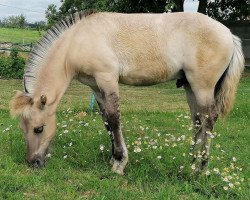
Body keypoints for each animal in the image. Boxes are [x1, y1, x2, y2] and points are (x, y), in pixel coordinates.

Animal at [10, 10, 244, 175]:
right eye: (23, 128)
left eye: (39, 129)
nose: (33, 162)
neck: (77, 41)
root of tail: (229, 34)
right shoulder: (96, 86)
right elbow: (106, 120)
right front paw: (113, 158)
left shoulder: (107, 79)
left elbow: (114, 119)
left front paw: (119, 163)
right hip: (190, 87)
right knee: (197, 120)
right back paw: (191, 161)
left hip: (202, 87)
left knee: (209, 119)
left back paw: (201, 168)